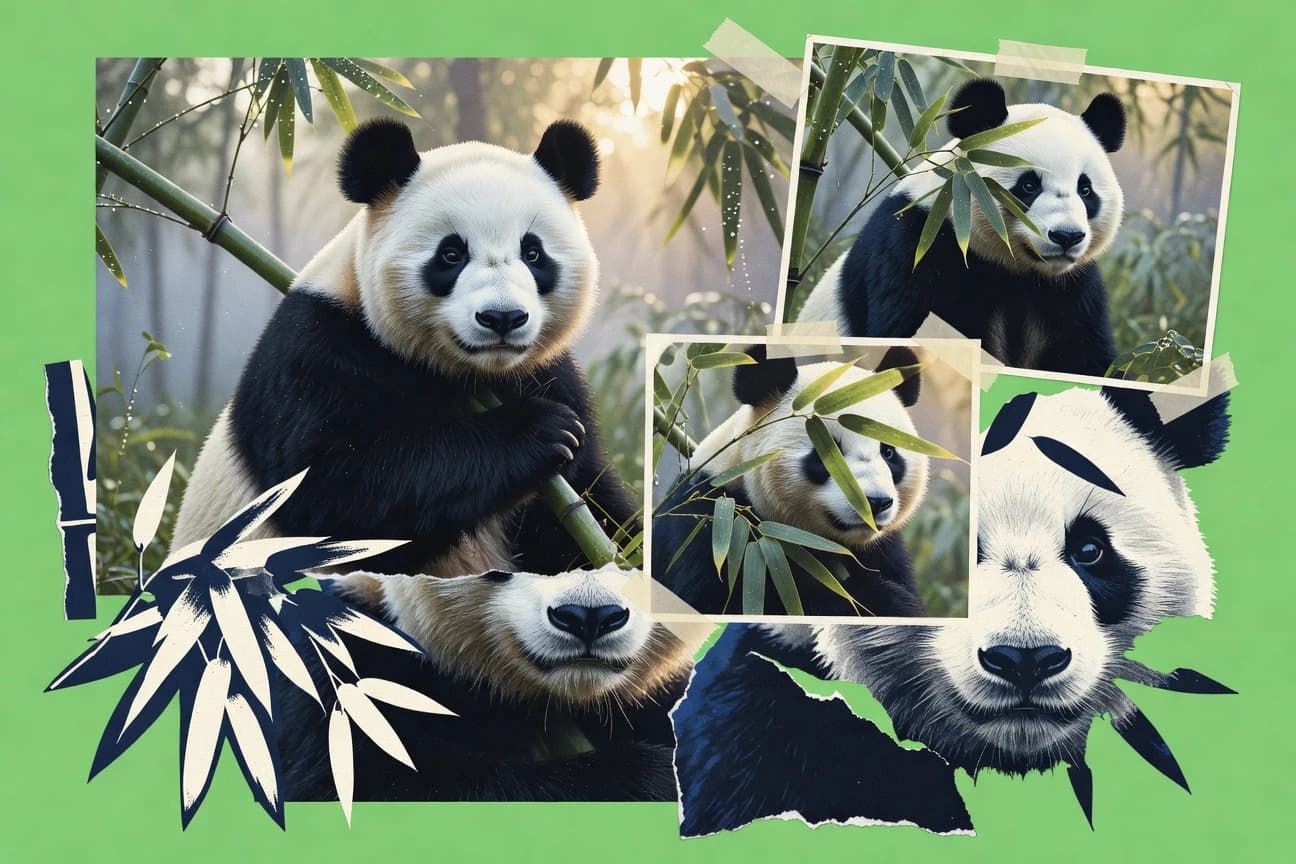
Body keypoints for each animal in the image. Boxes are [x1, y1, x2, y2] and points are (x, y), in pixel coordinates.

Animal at [171, 117, 634, 582]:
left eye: (533, 252)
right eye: (451, 254)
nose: (502, 318)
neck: (465, 373)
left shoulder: (547, 374)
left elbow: (587, 505)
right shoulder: (316, 345)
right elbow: (338, 489)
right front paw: (540, 429)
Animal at [653, 345, 930, 616]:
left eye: (889, 453)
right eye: (829, 451)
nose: (876, 502)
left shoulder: (883, 552)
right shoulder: (714, 523)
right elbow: (719, 601)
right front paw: (881, 598)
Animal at [796, 78, 1127, 377]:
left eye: (1085, 190)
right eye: (1028, 186)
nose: (1066, 236)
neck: (1016, 272)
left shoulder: (1071, 291)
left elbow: (1085, 357)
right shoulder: (918, 251)